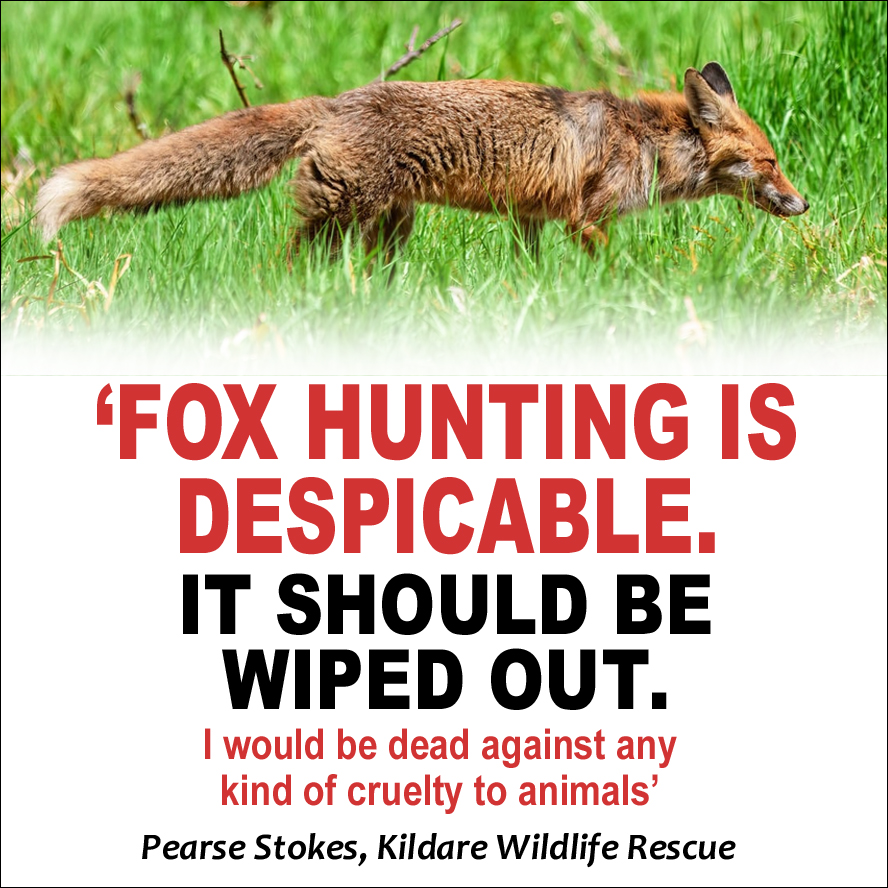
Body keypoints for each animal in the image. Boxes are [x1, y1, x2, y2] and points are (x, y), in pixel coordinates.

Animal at [36, 62, 807, 260]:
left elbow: (532, 269)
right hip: (341, 213)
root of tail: (336, 100)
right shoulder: (587, 217)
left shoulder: (531, 216)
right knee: (283, 263)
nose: (804, 203)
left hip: (389, 224)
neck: (645, 140)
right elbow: (612, 266)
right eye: (769, 161)